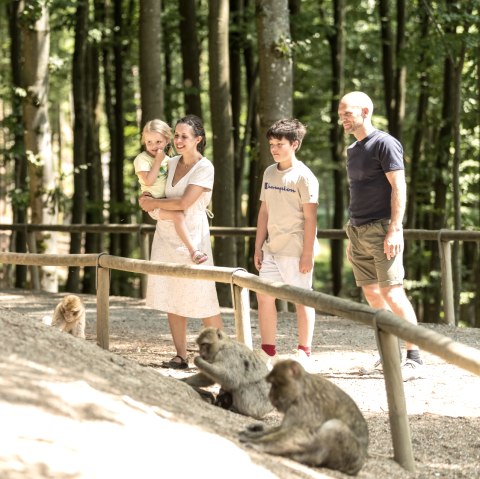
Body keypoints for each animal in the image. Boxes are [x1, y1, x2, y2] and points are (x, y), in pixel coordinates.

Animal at [238, 360, 370, 476]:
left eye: (274, 385)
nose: (270, 396)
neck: (301, 388)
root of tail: (358, 467)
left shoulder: (305, 407)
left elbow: (300, 434)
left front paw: (258, 443)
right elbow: (285, 428)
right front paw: (256, 432)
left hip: (349, 456)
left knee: (335, 426)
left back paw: (308, 457)